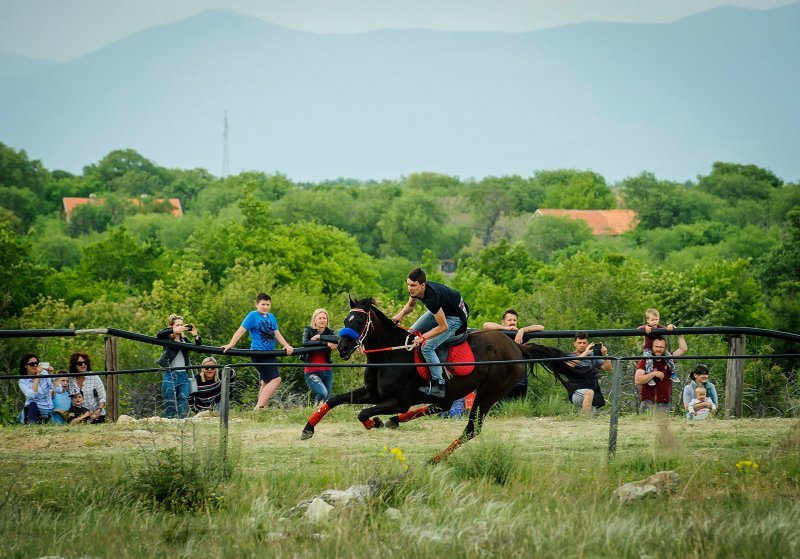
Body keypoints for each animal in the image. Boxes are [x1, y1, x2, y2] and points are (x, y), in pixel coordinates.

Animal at [298, 300, 568, 462]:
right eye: (346, 321)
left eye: (359, 321)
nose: (343, 347)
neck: (391, 354)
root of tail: (516, 346)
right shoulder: (372, 392)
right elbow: (335, 399)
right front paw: (308, 428)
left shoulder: (399, 400)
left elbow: (363, 413)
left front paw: (374, 422)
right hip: (457, 391)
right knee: (442, 406)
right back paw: (396, 422)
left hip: (488, 392)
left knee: (471, 429)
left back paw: (433, 459)